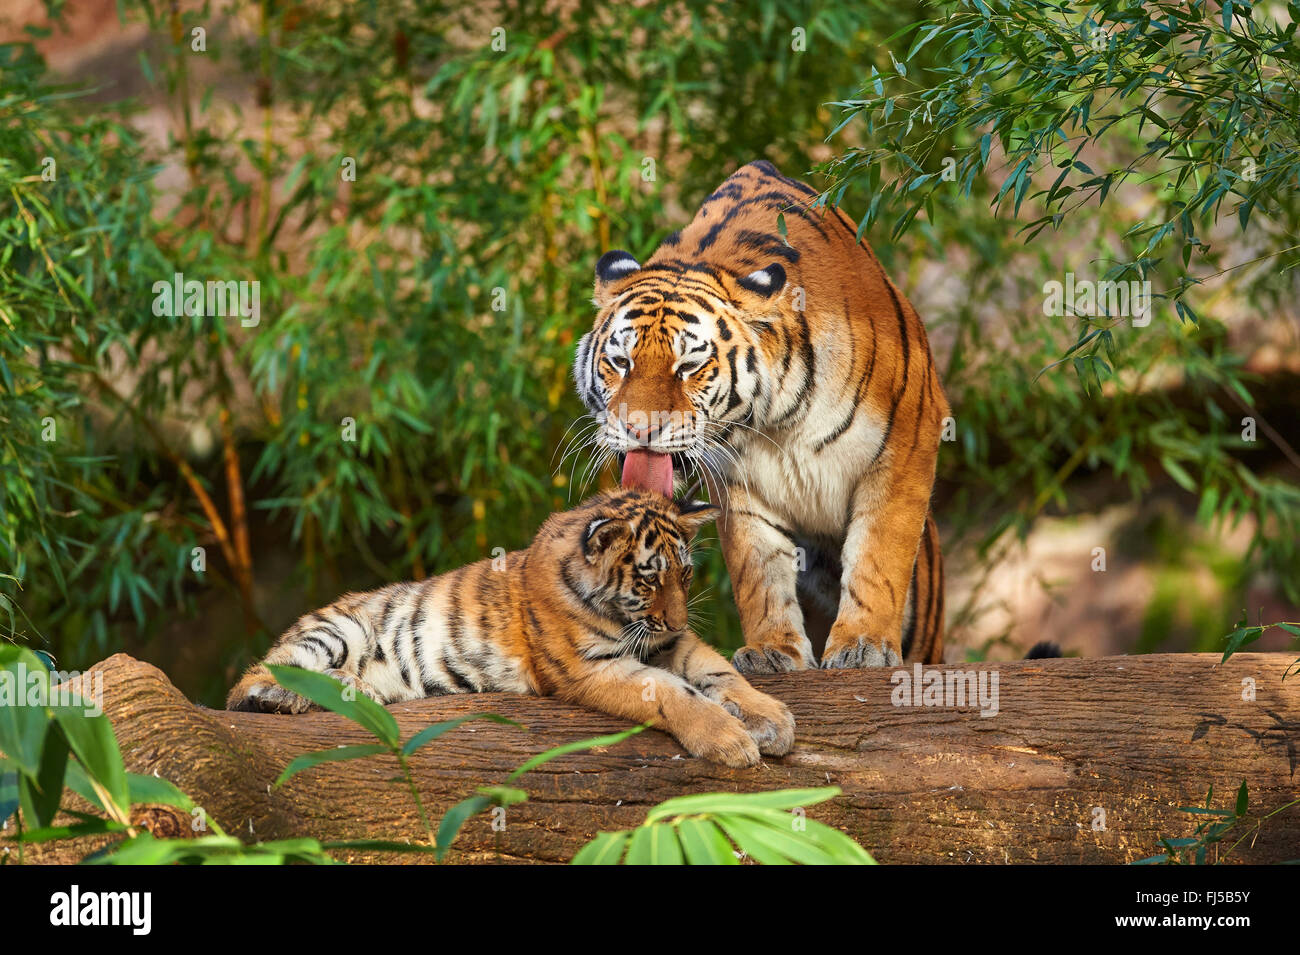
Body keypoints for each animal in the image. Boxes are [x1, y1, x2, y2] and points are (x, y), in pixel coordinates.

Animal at [574, 158, 951, 670]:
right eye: (620, 362)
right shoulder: (739, 486)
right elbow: (758, 571)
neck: (777, 421)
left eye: (688, 366)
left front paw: (863, 645)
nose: (640, 429)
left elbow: (879, 554)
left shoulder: (908, 437)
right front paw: (773, 650)